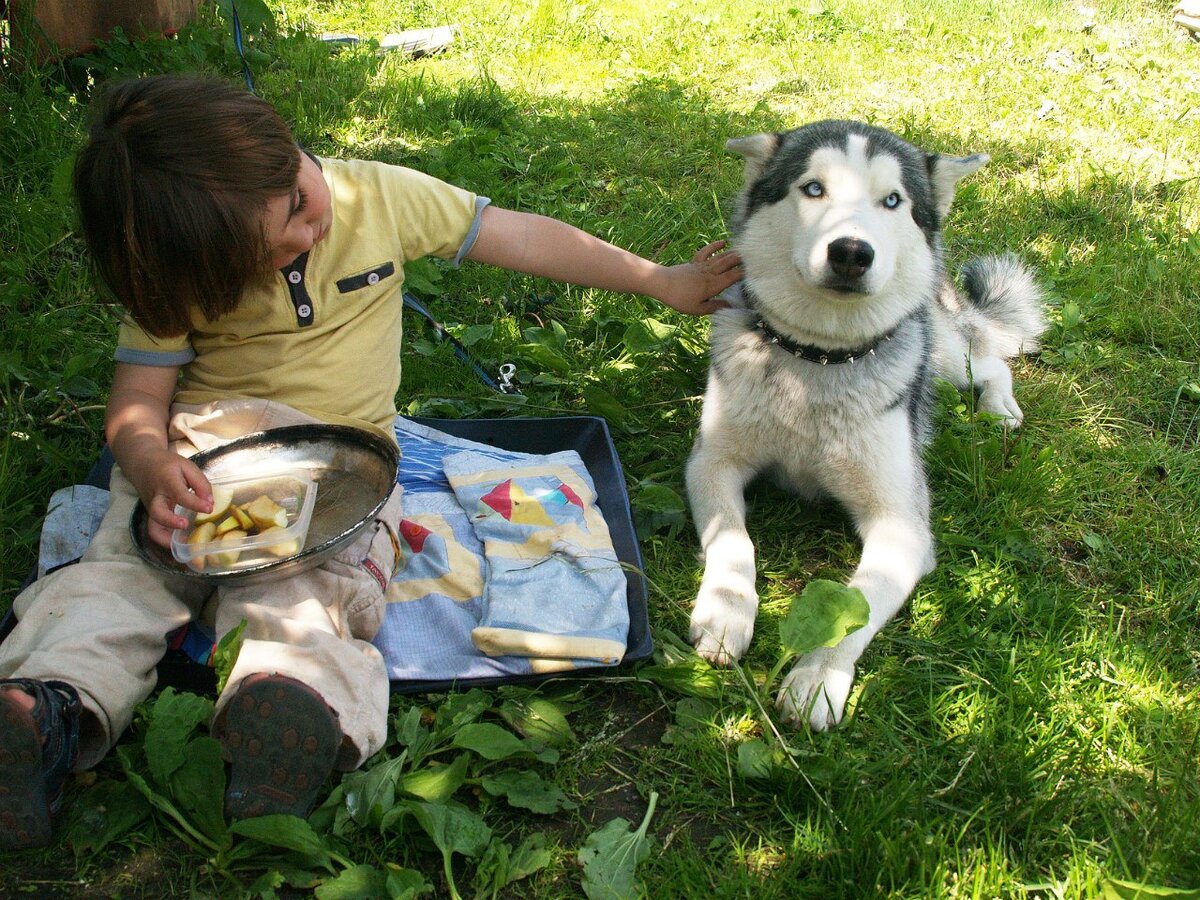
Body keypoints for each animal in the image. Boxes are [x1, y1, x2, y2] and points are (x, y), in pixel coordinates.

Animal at [691, 121, 1046, 734]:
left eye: (893, 201)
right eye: (813, 189)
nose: (851, 252)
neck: (817, 363)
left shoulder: (902, 524)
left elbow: (856, 603)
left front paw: (817, 676)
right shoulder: (711, 462)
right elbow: (733, 538)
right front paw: (725, 610)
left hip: (943, 351)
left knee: (990, 360)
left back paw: (1001, 410)